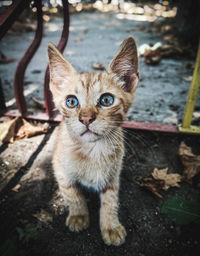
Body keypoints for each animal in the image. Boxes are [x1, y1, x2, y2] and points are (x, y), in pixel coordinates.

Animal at [48, 36, 139, 246]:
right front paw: (78, 215)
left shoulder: (113, 175)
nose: (86, 118)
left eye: (106, 100)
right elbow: (71, 192)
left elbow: (111, 199)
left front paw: (111, 225)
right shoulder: (59, 167)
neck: (93, 150)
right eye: (71, 102)